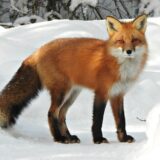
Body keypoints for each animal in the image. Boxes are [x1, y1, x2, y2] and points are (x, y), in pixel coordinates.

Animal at [0, 15, 148, 144]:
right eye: (121, 41)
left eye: (134, 40)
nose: (129, 51)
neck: (120, 66)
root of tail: (38, 51)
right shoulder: (101, 92)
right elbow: (97, 120)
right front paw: (98, 139)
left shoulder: (117, 94)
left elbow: (121, 120)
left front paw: (123, 139)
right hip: (61, 92)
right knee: (51, 113)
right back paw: (59, 138)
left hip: (72, 94)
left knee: (61, 115)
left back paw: (69, 137)